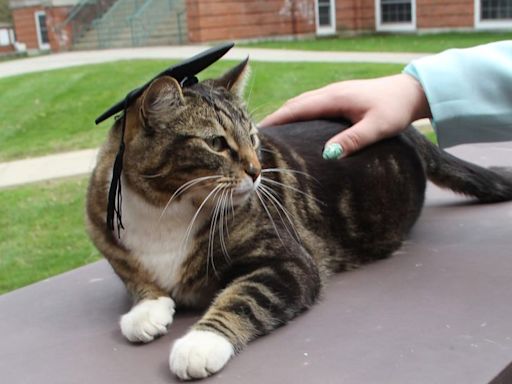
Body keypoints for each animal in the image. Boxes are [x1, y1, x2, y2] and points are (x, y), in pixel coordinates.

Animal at [86, 58, 512, 380]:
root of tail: (408, 129)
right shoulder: (104, 234)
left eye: (254, 137)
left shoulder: (289, 262)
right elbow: (135, 278)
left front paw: (199, 343)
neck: (166, 207)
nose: (257, 171)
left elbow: (243, 298)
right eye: (216, 143)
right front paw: (145, 311)